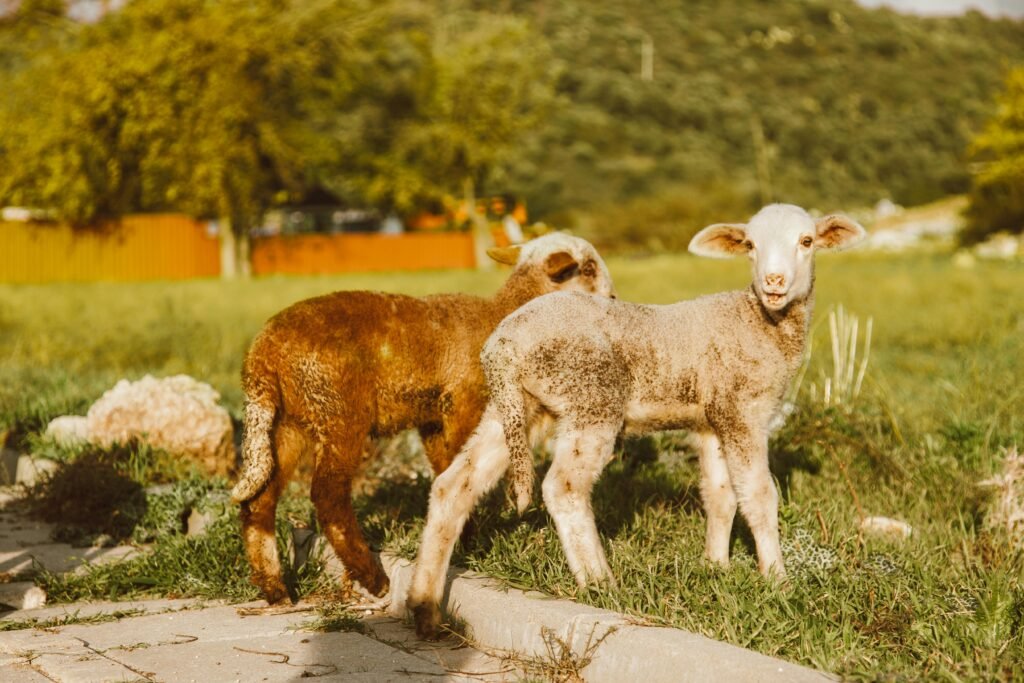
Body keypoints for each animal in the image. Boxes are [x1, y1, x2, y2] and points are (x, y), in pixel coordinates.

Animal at [230, 233, 615, 604]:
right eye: (588, 268)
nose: (613, 298)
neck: (502, 314)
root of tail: (262, 356)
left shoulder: (432, 419)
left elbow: (446, 469)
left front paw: (462, 539)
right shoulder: (464, 403)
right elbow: (462, 471)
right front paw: (471, 540)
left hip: (288, 421)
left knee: (259, 500)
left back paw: (275, 589)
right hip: (338, 411)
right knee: (328, 496)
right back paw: (372, 578)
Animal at [406, 204, 866, 638]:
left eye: (807, 241)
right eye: (750, 245)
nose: (774, 282)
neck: (758, 321)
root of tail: (503, 343)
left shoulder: (713, 419)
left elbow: (720, 495)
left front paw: (715, 567)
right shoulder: (743, 411)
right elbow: (759, 495)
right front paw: (777, 581)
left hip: (518, 406)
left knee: (454, 484)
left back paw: (424, 606)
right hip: (591, 396)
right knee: (563, 486)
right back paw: (599, 582)